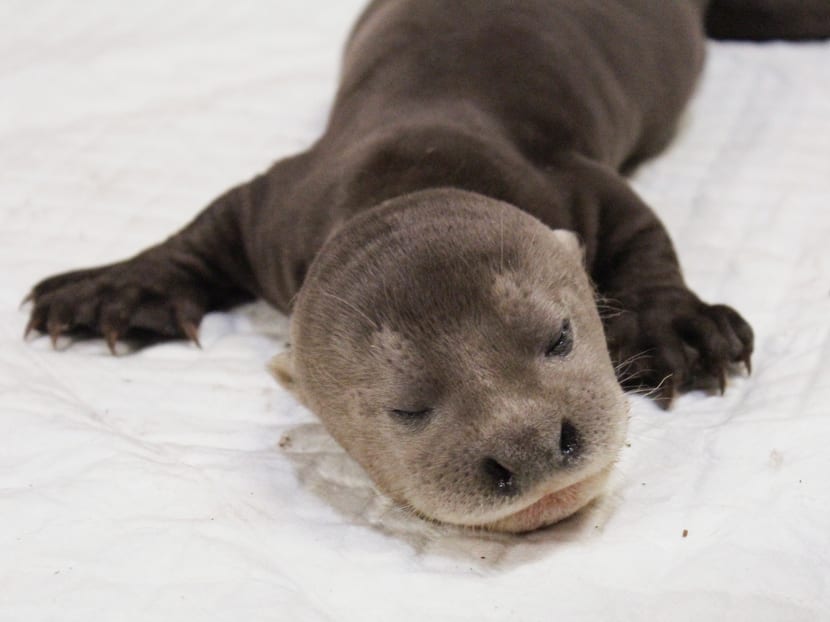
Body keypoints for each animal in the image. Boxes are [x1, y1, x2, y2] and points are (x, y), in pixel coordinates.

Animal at [23, 1, 830, 532]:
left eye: (561, 337)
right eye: (406, 407)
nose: (529, 446)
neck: (418, 154)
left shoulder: (569, 175)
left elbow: (644, 234)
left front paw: (676, 331)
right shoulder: (281, 205)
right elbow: (205, 228)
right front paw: (116, 290)